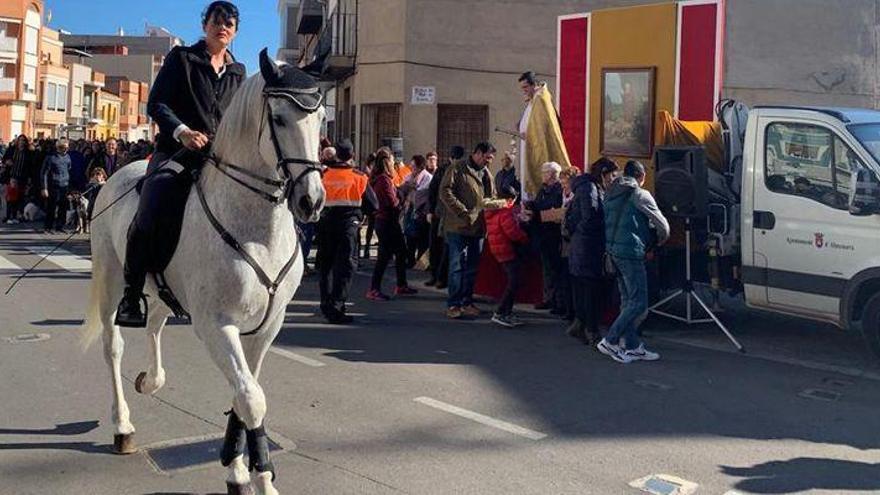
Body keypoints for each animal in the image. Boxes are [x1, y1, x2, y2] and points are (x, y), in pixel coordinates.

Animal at [81, 51, 324, 495]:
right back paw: (122, 426)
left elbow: (244, 394)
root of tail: (118, 175)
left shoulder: (267, 327)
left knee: (155, 326)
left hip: (160, 290)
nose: (311, 201)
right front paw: (257, 475)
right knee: (113, 346)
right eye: (279, 118)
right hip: (110, 281)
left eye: (322, 118)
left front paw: (239, 467)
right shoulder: (216, 325)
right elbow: (251, 399)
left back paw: (151, 380)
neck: (257, 230)